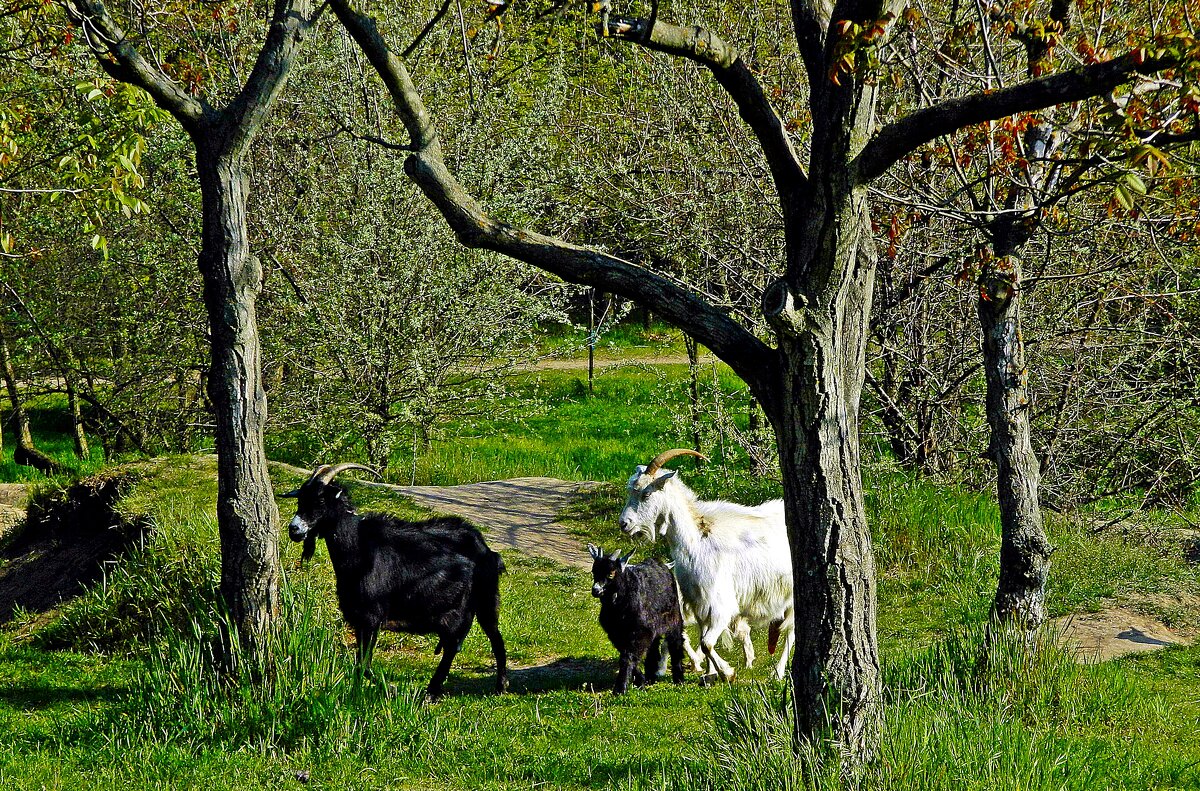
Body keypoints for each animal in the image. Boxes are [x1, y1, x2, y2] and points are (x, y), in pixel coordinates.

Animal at [284, 463, 506, 700]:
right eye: (300, 499)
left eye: (320, 500)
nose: (294, 529)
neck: (358, 547)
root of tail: (486, 549)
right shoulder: (359, 620)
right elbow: (360, 665)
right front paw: (361, 693)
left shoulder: (370, 617)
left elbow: (364, 665)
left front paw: (385, 690)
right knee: (466, 642)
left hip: (479, 603)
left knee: (473, 642)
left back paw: (481, 687)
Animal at [588, 544, 686, 691]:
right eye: (594, 572)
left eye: (611, 573)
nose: (596, 590)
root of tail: (663, 564)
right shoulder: (616, 633)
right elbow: (626, 653)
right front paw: (640, 680)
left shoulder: (640, 631)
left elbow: (628, 655)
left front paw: (620, 688)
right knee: (653, 648)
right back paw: (651, 677)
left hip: (674, 618)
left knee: (676, 643)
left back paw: (679, 679)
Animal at [619, 448, 796, 681]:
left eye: (646, 494)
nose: (624, 524)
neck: (697, 540)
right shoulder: (699, 604)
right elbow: (703, 637)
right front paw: (710, 673)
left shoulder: (721, 605)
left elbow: (707, 642)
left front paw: (727, 672)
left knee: (791, 633)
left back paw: (778, 672)